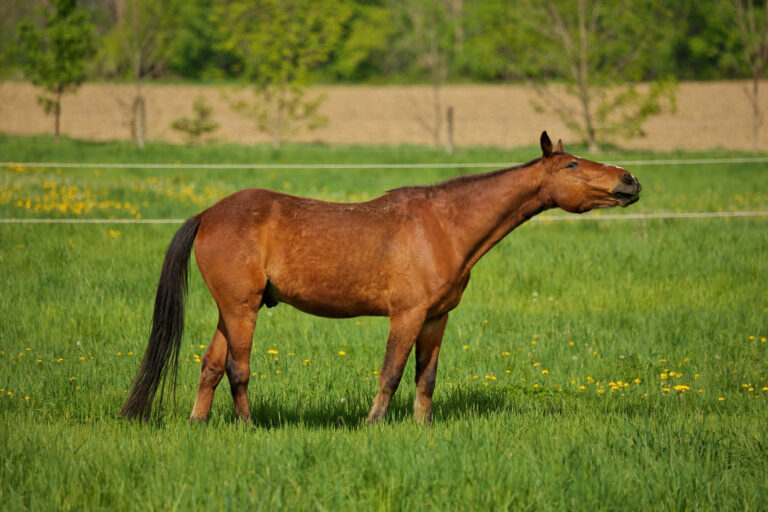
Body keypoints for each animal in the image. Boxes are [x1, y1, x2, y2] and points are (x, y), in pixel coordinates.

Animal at [121, 131, 642, 425]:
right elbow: (391, 372)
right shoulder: (406, 315)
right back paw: (248, 427)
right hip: (241, 309)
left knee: (210, 366)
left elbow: (425, 378)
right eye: (572, 164)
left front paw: (421, 429)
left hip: (229, 311)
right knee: (237, 369)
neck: (444, 225)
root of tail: (208, 213)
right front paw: (373, 424)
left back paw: (198, 425)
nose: (629, 180)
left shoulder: (435, 319)